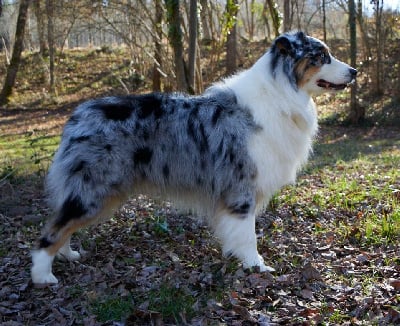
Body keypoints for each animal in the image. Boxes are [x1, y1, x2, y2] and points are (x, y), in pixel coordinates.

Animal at [31, 31, 356, 284]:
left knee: (63, 224)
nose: (354, 71)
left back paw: (68, 254)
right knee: (53, 229)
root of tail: (76, 117)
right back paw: (43, 275)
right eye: (322, 56)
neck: (281, 93)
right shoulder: (241, 187)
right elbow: (248, 234)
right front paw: (256, 265)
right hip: (93, 190)